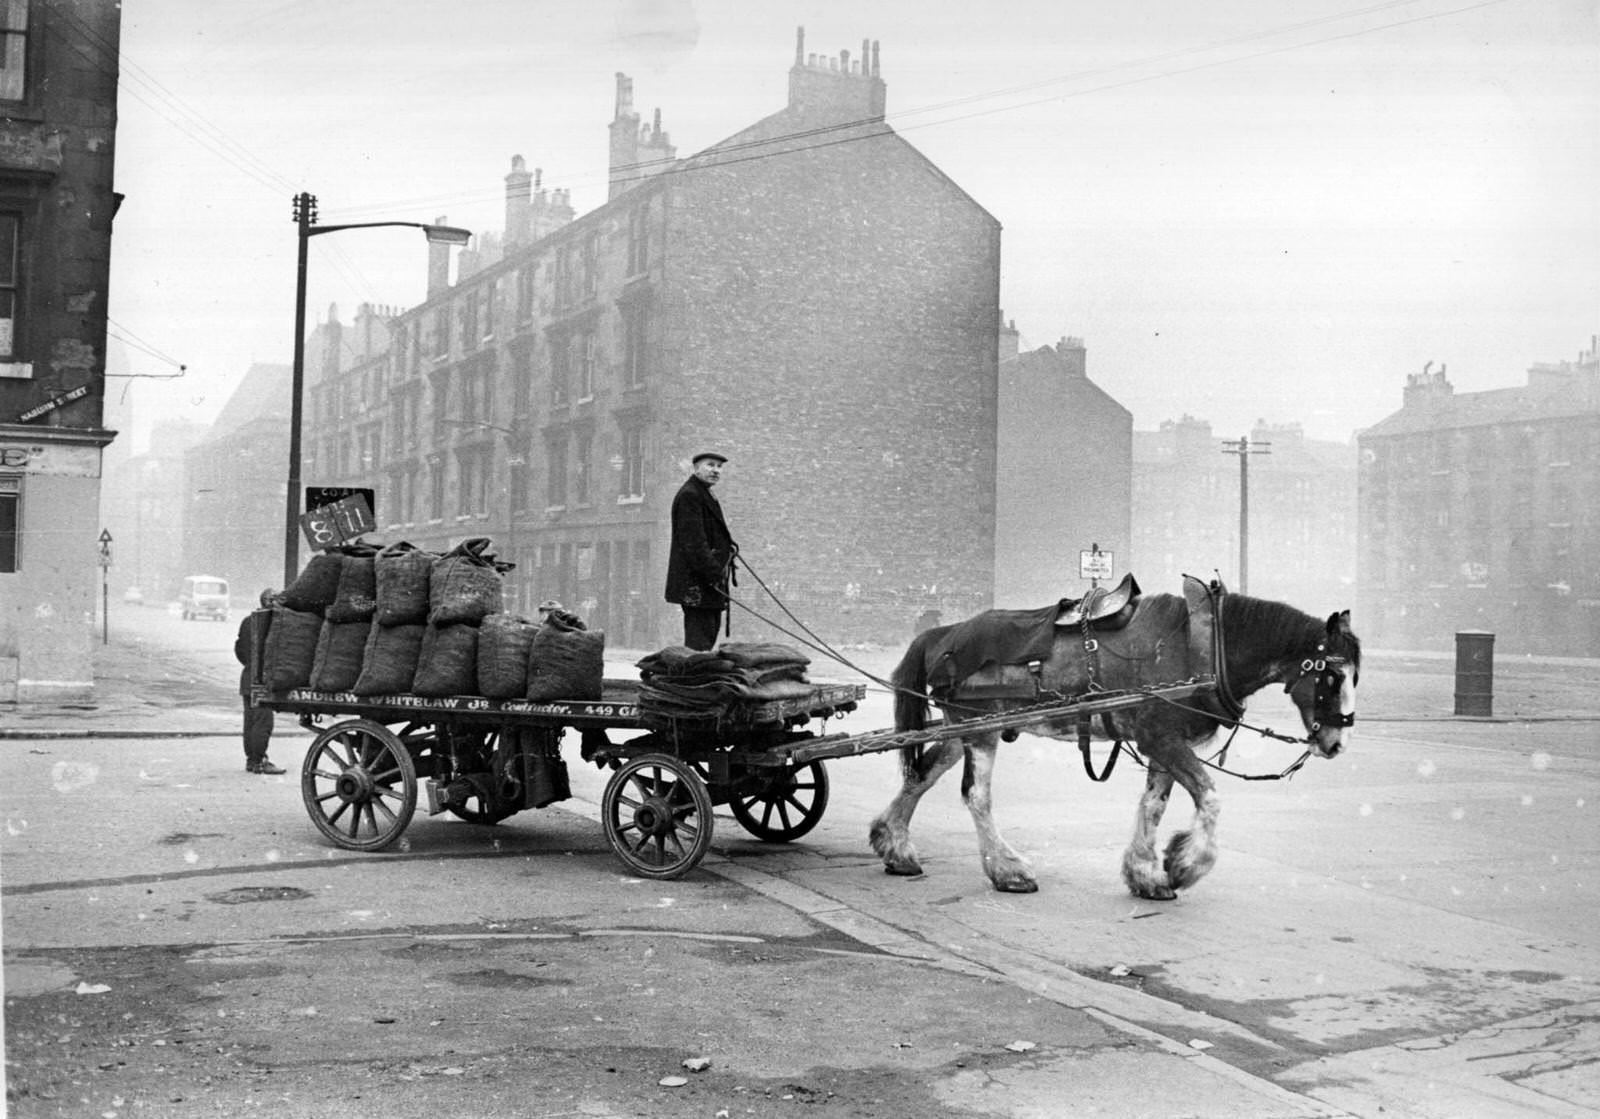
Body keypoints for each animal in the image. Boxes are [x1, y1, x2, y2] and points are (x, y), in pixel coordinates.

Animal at [870, 582, 1356, 896]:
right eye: (1332, 675)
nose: (1336, 742)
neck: (1200, 646)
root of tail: (943, 632)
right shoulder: (1161, 738)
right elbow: (1210, 796)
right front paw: (1184, 864)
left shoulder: (1162, 742)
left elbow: (1154, 804)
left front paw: (1146, 873)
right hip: (980, 727)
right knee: (976, 796)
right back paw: (1008, 871)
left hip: (960, 729)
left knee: (920, 775)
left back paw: (894, 845)